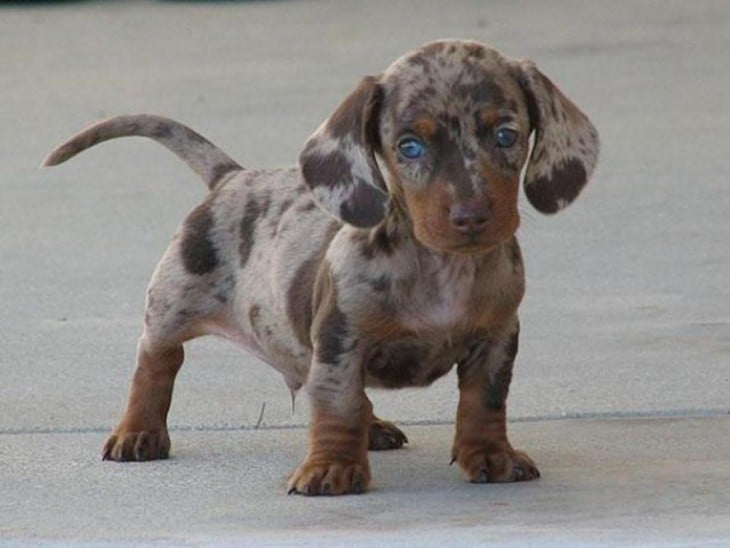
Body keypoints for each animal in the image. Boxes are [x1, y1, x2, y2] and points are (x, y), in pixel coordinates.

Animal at [42, 40, 596, 494]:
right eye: (409, 146)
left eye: (506, 134)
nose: (472, 216)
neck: (443, 272)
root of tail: (232, 177)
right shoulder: (339, 338)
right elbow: (339, 404)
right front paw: (332, 467)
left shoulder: (497, 339)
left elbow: (485, 402)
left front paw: (491, 455)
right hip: (171, 302)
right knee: (156, 361)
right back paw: (138, 431)